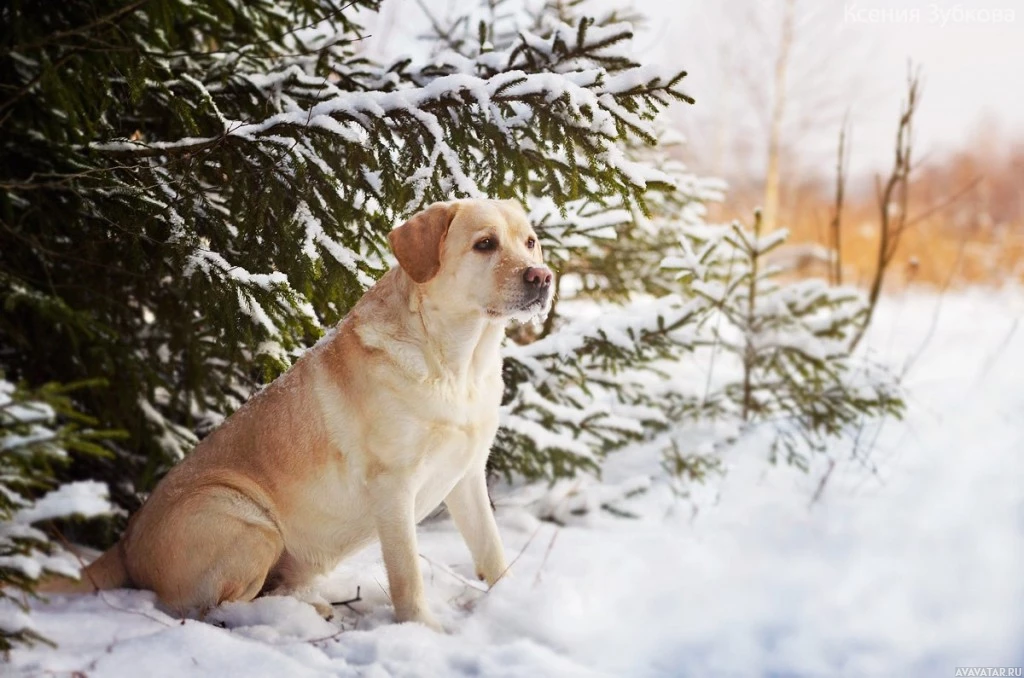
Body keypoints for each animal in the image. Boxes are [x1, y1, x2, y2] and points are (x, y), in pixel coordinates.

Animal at [49, 197, 552, 630]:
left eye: (530, 241)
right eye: (485, 244)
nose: (543, 277)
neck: (458, 365)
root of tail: (124, 543)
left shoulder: (467, 475)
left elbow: (491, 550)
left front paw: (508, 605)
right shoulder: (394, 486)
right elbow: (407, 575)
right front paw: (424, 631)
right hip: (249, 524)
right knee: (215, 607)